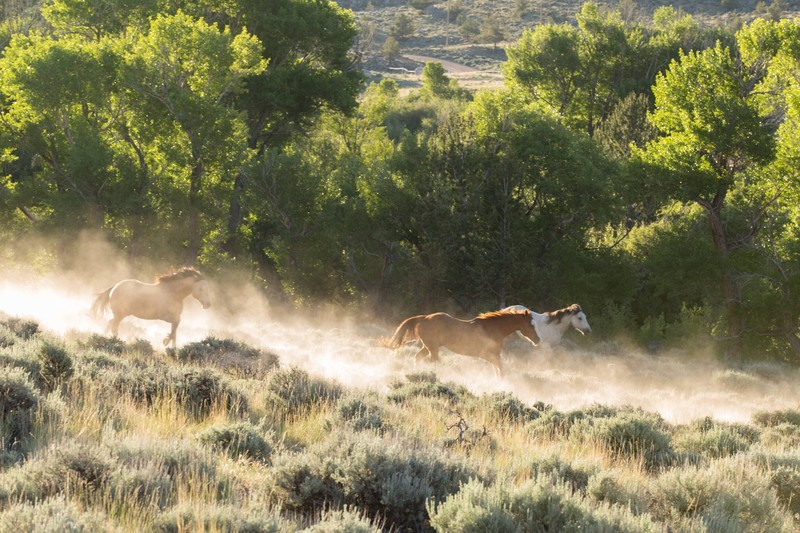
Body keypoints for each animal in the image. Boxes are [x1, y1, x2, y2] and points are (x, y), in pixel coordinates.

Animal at [380, 306, 540, 376]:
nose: (537, 340)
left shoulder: (492, 356)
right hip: (432, 347)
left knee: (418, 357)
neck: (492, 328)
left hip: (429, 346)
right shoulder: (490, 355)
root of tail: (423, 318)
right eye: (530, 324)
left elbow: (498, 370)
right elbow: (500, 369)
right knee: (433, 361)